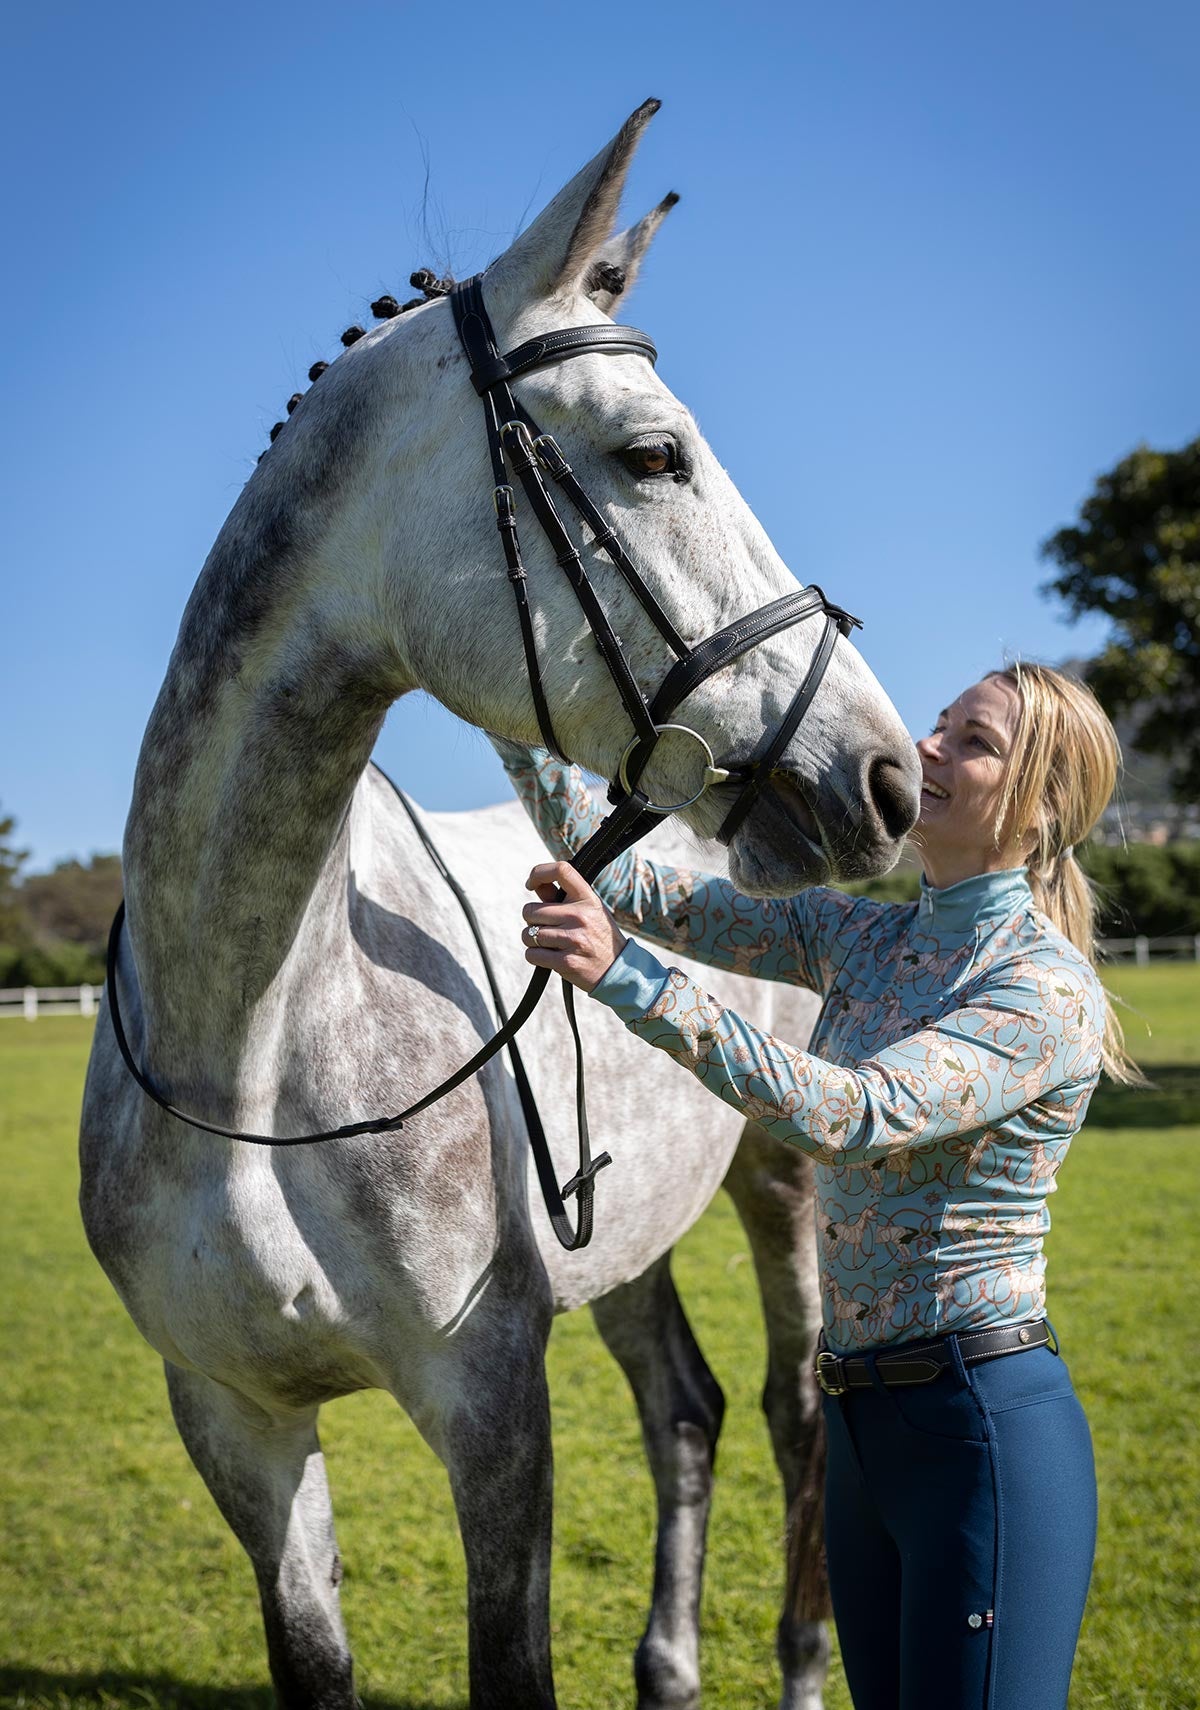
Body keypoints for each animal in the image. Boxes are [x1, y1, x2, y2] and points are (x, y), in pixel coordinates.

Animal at [80, 100, 918, 1710]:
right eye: (655, 455)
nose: (886, 773)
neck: (249, 1049)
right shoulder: (237, 1423)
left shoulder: (489, 1404)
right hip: (632, 1230)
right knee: (686, 1407)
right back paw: (669, 1665)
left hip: (785, 1174)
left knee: (797, 1407)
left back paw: (797, 1663)